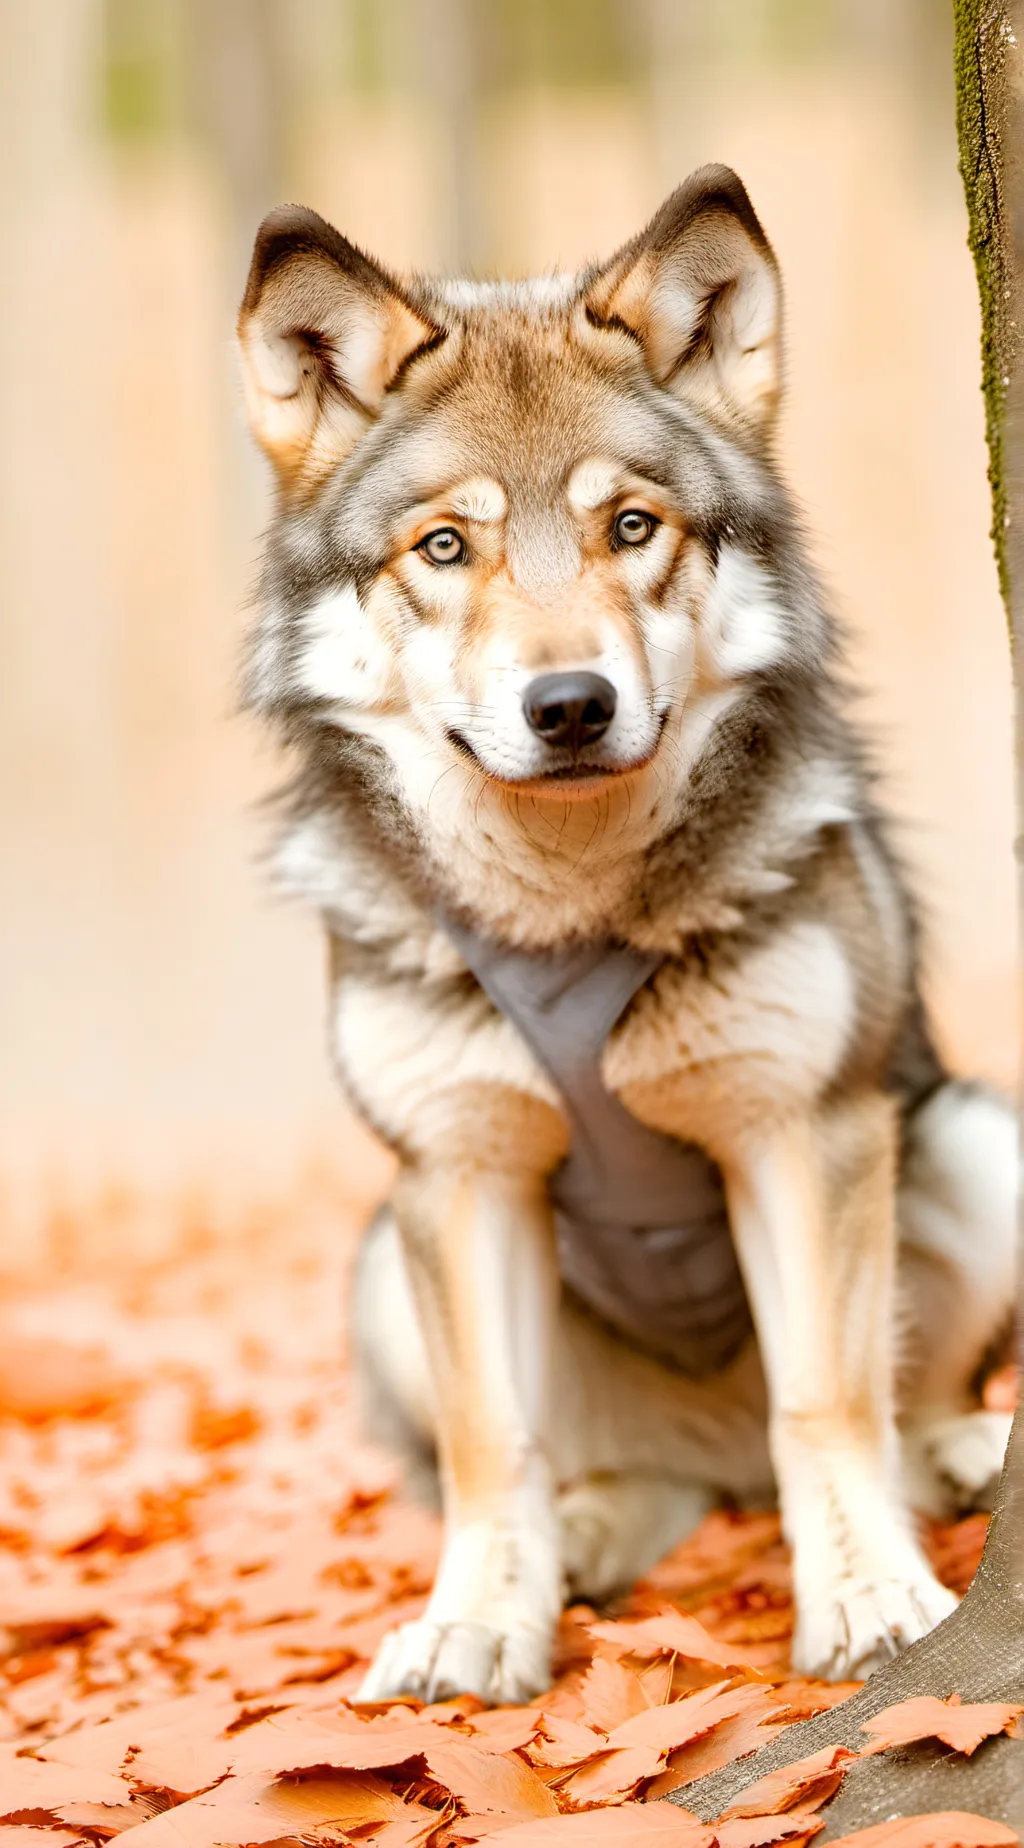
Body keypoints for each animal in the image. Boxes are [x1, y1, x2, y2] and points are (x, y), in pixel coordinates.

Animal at [237, 167, 1016, 1704]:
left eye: (634, 529)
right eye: (445, 547)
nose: (571, 707)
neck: (567, 911)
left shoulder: (804, 1131)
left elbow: (823, 1399)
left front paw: (870, 1603)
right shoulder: (457, 1173)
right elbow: (491, 1447)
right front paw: (479, 1623)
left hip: (970, 1138)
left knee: (881, 1416)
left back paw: (956, 1454)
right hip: (379, 1266)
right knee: (612, 1476)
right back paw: (590, 1541)